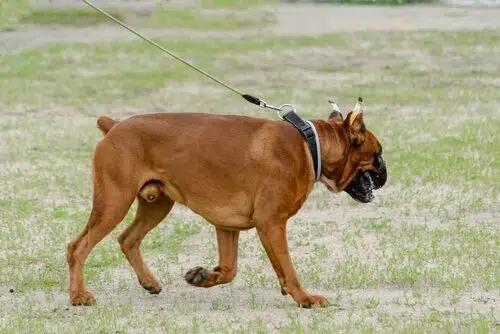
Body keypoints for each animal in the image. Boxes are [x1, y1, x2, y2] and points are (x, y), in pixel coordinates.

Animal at [66, 99, 386, 308]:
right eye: (378, 153)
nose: (386, 173)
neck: (309, 146)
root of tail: (115, 126)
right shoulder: (271, 224)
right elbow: (287, 268)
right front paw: (304, 298)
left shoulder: (227, 226)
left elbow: (230, 271)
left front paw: (204, 276)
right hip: (113, 203)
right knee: (77, 247)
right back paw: (78, 296)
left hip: (156, 205)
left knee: (128, 239)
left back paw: (149, 282)